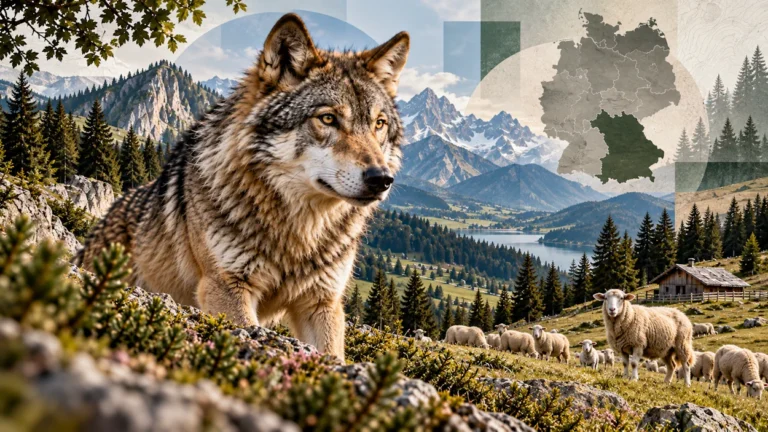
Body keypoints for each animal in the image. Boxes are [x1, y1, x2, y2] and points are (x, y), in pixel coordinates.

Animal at [76, 13, 410, 360]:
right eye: (328, 119)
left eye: (379, 124)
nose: (381, 179)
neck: (298, 236)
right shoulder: (226, 286)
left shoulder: (321, 303)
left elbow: (332, 356)